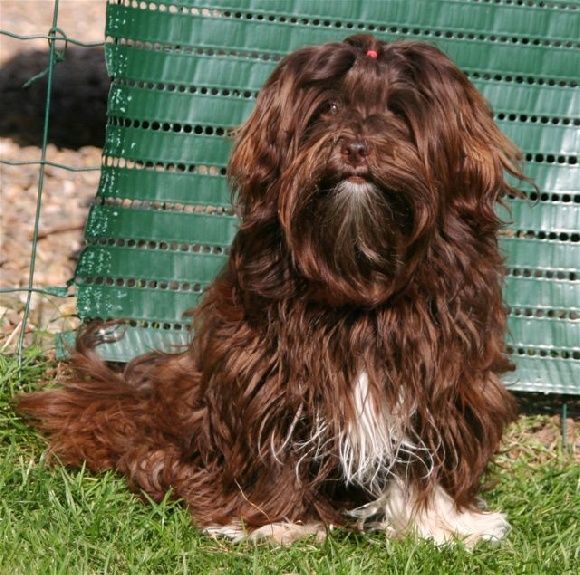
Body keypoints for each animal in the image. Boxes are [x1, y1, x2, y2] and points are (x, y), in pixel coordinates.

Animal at [18, 35, 527, 546]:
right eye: (330, 107)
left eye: (397, 111)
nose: (356, 147)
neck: (359, 278)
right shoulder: (264, 366)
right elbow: (275, 441)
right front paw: (276, 521)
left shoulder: (443, 367)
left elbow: (431, 443)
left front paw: (440, 522)